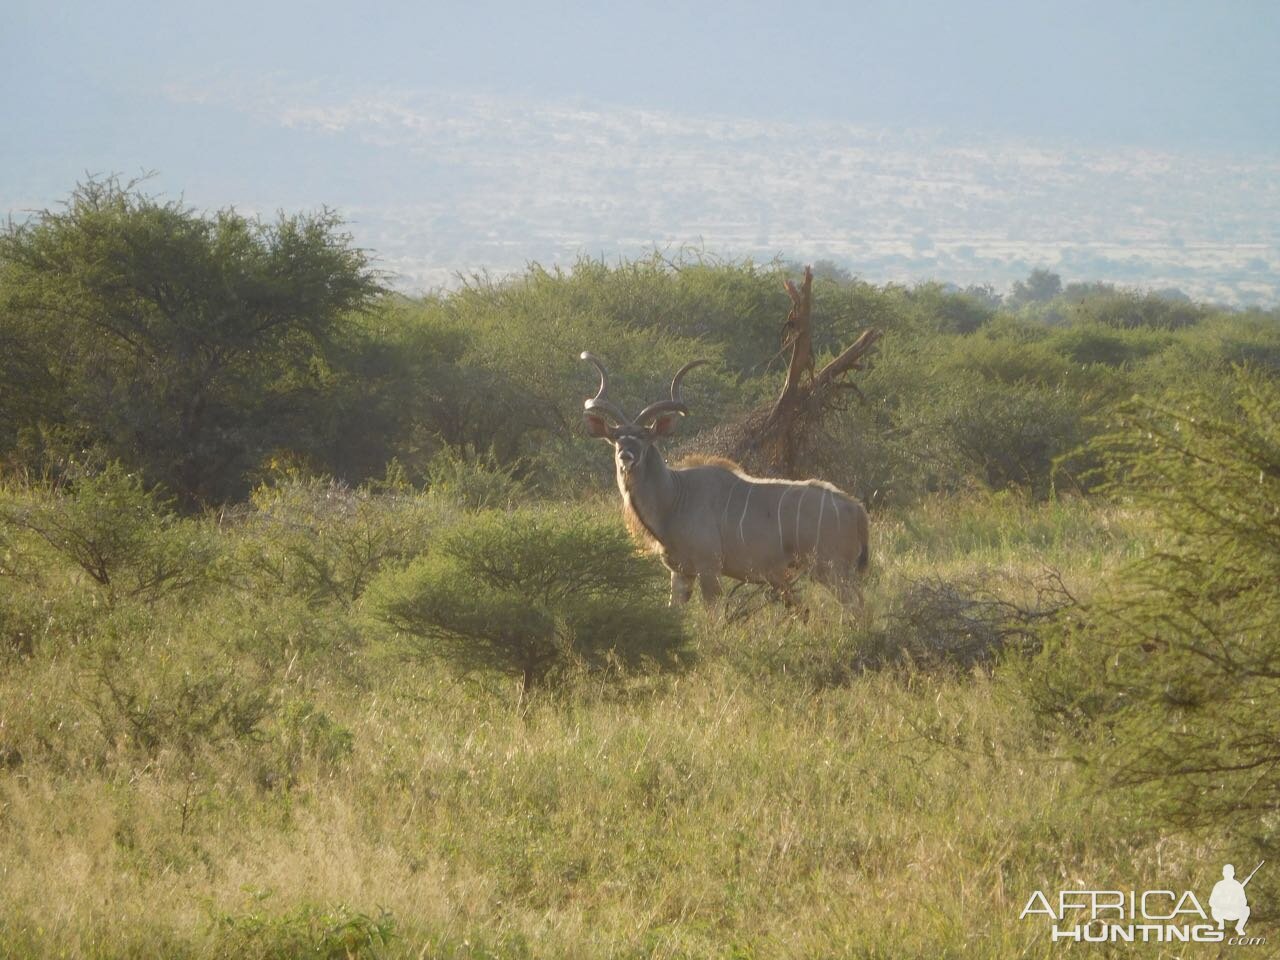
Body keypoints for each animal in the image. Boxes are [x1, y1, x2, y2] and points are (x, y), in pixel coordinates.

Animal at [583, 353, 870, 609]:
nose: (626, 456)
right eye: (616, 437)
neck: (675, 497)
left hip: (831, 570)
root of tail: (856, 508)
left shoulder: (709, 568)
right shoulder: (680, 573)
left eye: (643, 437)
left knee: (857, 608)